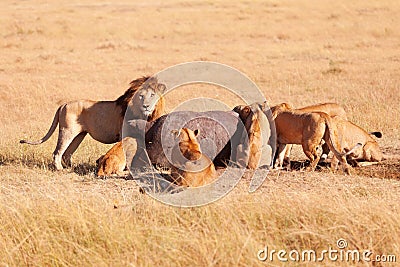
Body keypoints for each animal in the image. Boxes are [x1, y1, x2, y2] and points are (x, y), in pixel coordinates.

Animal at [19, 76, 166, 171]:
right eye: (141, 96)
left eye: (152, 95)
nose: (146, 106)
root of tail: (63, 104)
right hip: (67, 131)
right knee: (57, 152)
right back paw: (60, 169)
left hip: (79, 135)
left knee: (67, 154)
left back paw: (71, 168)